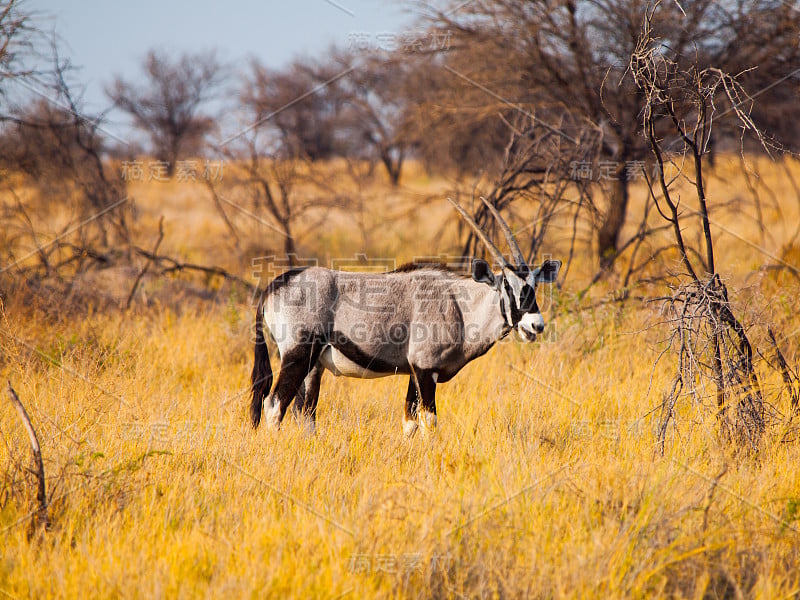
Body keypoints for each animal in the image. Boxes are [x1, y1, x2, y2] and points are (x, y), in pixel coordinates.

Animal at [252, 197, 564, 436]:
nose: (536, 324)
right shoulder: (425, 370)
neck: (459, 305)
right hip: (297, 355)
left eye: (534, 286)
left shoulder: (415, 372)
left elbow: (409, 422)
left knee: (304, 413)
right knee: (274, 405)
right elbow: (429, 421)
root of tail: (274, 286)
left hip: (313, 366)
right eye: (508, 286)